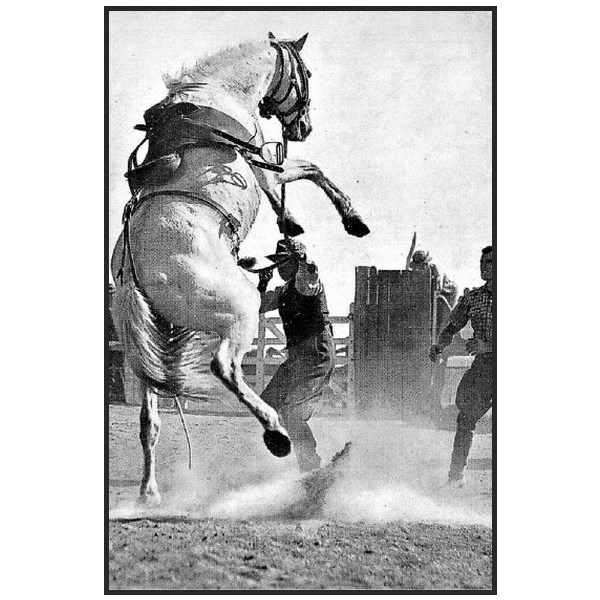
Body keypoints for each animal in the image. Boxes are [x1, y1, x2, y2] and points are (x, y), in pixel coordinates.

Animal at [110, 34, 368, 506]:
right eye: (306, 72)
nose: (303, 128)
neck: (219, 91)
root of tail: (136, 271)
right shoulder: (267, 165)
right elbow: (310, 170)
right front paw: (348, 220)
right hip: (240, 310)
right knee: (224, 368)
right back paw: (276, 434)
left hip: (146, 344)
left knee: (149, 421)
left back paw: (149, 492)